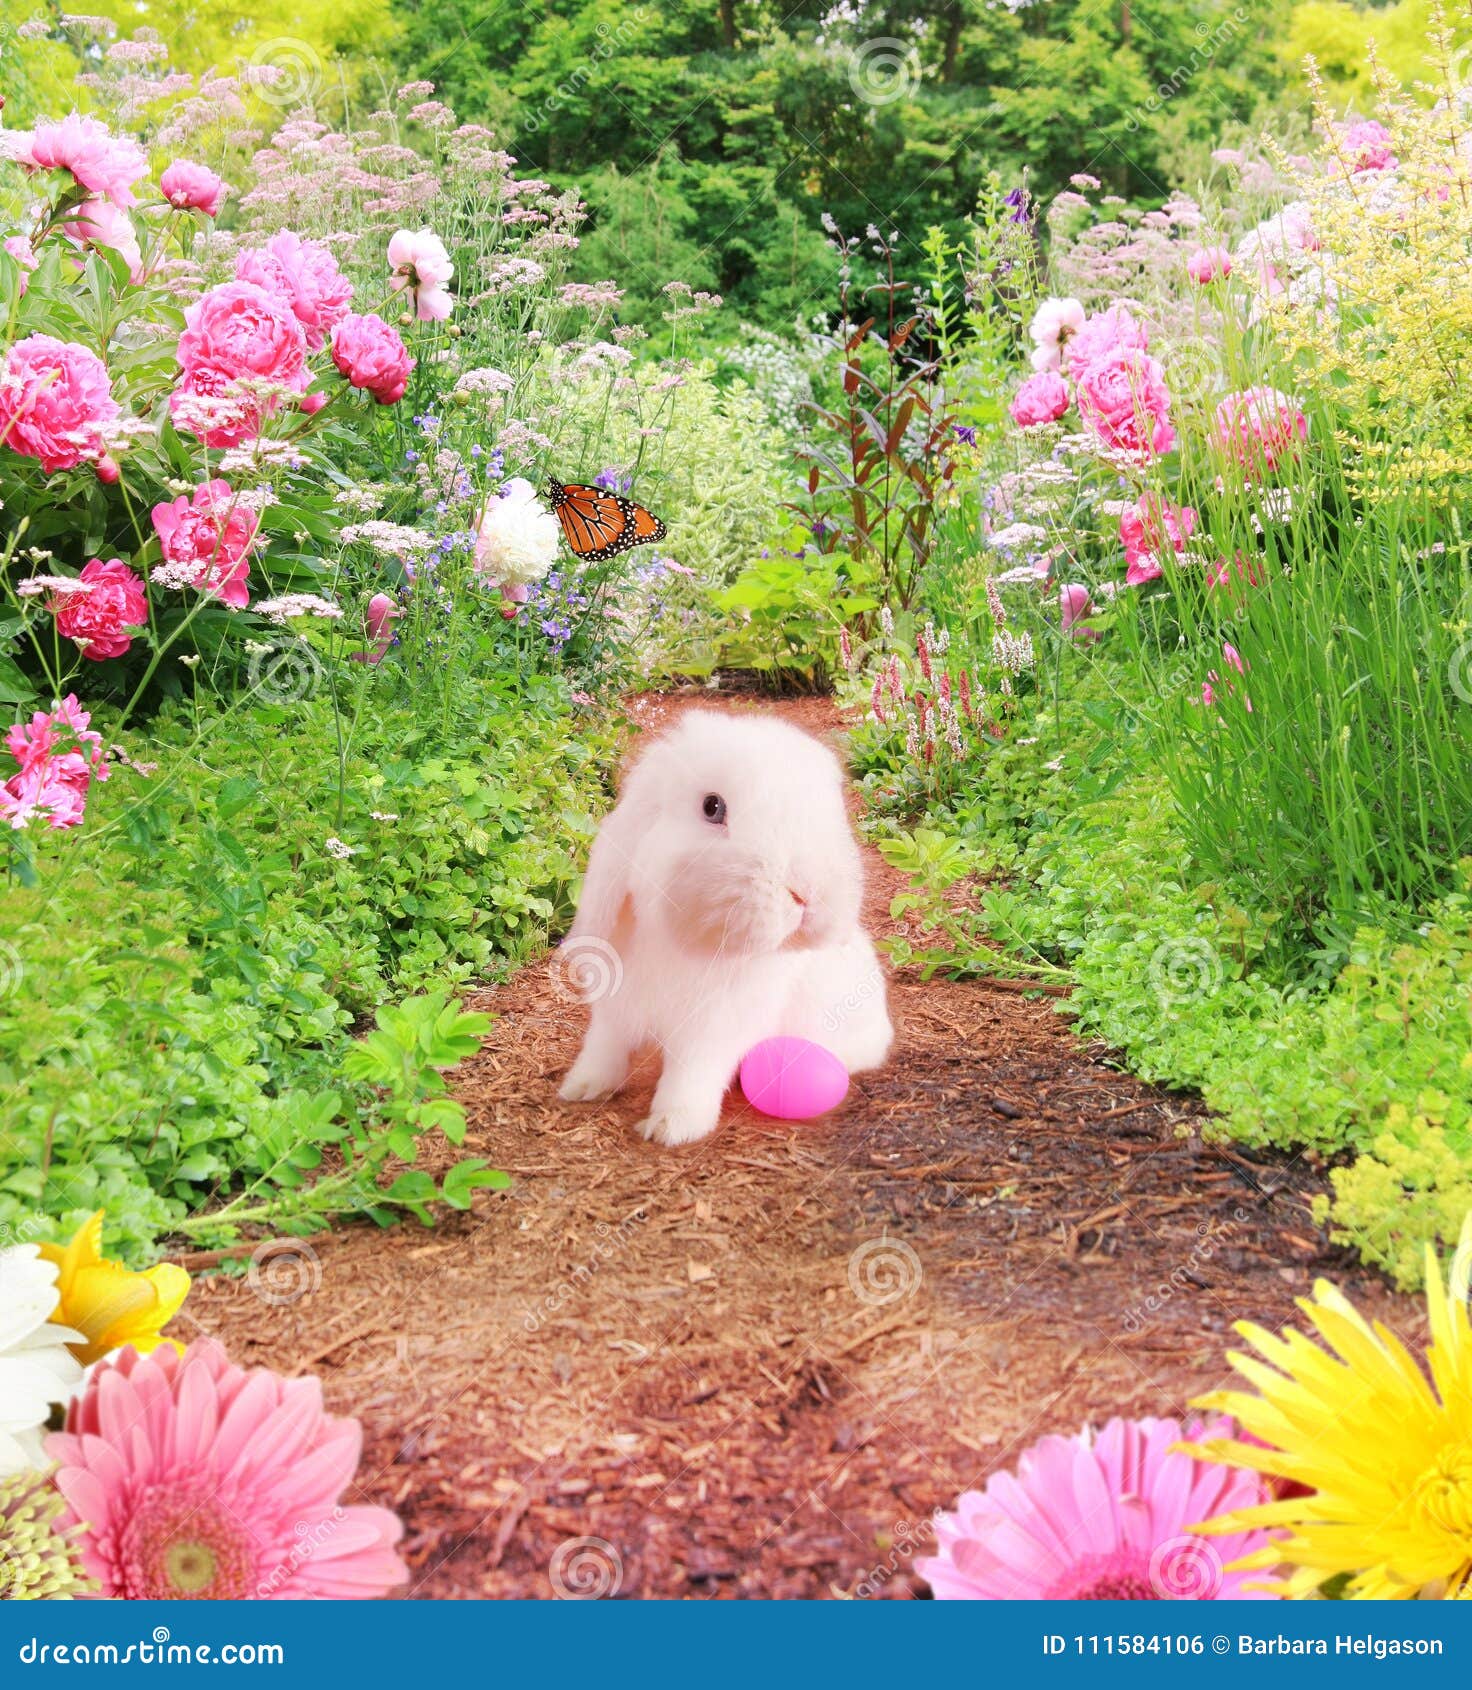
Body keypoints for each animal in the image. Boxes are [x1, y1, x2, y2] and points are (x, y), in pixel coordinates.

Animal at [557, 709, 893, 1147]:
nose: (807, 892)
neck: (686, 943)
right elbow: (603, 1051)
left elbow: (690, 1078)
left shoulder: (711, 1032)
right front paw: (581, 1087)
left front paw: (671, 1127)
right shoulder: (613, 1013)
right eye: (712, 807)